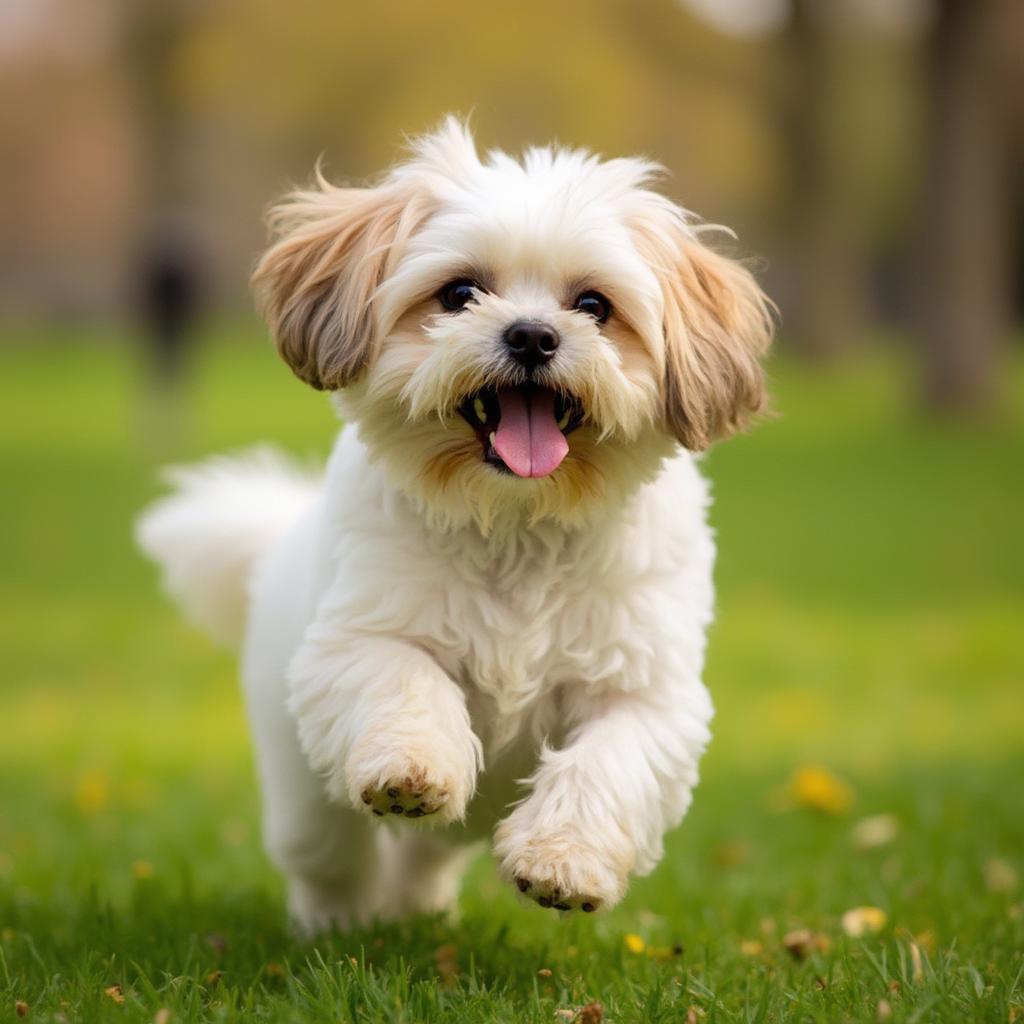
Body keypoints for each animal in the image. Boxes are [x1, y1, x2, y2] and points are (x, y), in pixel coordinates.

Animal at [138, 119, 774, 937]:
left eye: (594, 305)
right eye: (461, 293)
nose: (532, 335)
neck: (517, 522)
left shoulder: (648, 696)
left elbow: (604, 764)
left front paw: (562, 859)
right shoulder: (358, 640)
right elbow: (408, 680)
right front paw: (412, 768)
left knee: (424, 856)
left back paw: (416, 911)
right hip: (301, 787)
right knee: (330, 857)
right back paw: (339, 922)